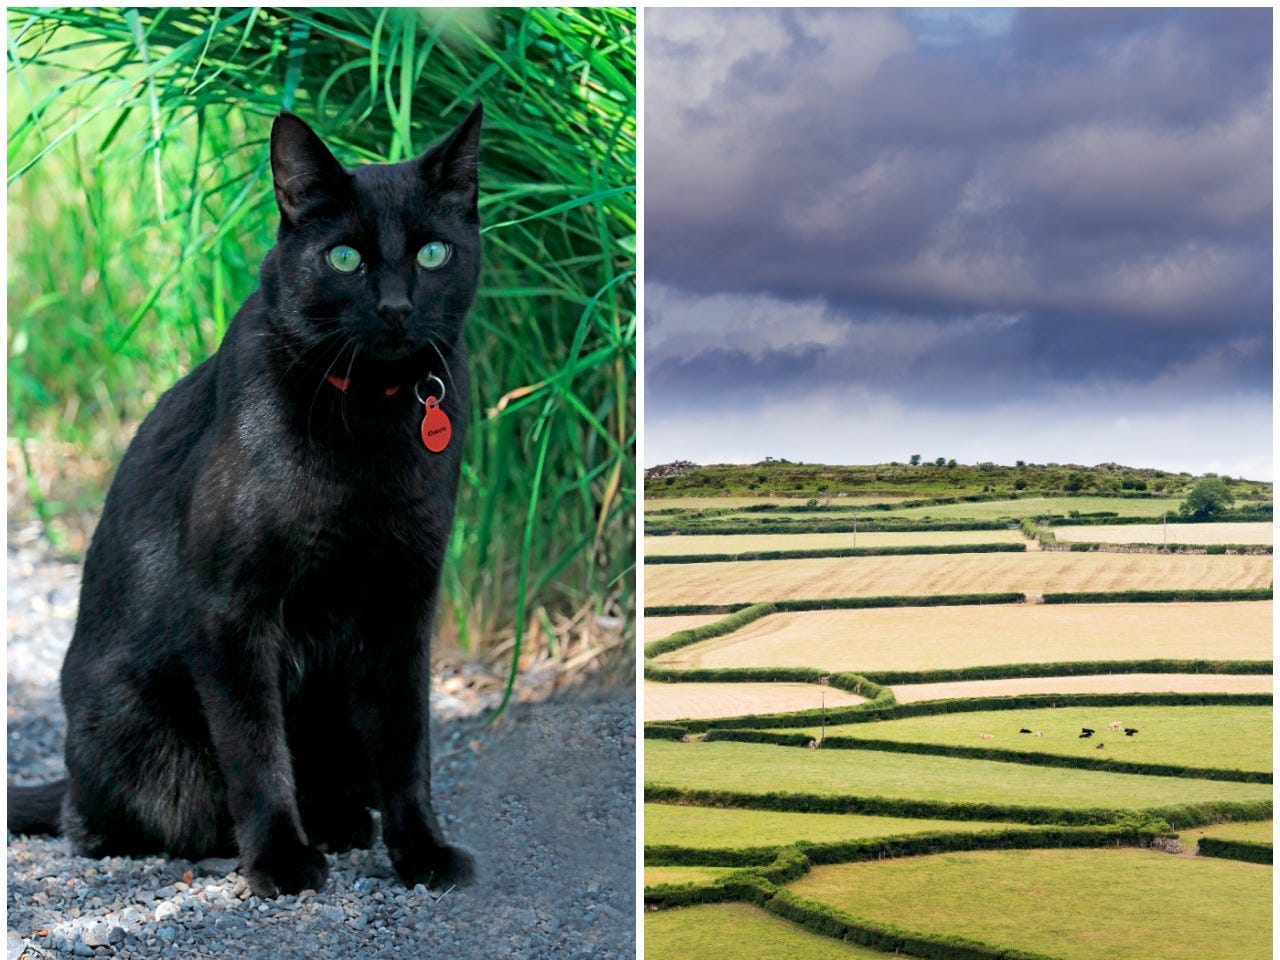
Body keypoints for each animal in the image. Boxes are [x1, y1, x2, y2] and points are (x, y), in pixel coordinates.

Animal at [7, 101, 483, 901]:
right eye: (345, 259)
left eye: (432, 254)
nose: (395, 307)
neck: (370, 417)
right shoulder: (232, 607)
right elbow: (257, 749)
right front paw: (281, 862)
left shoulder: (405, 599)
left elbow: (408, 744)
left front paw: (423, 852)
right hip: (136, 726)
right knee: (104, 823)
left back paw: (344, 824)